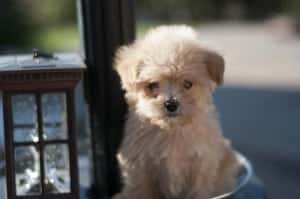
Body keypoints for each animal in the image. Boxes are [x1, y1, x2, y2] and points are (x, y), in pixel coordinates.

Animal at [113, 25, 240, 199]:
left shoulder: (202, 165)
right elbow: (141, 190)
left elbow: (198, 190)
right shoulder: (138, 166)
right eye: (152, 85)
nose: (171, 104)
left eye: (188, 84)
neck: (172, 130)